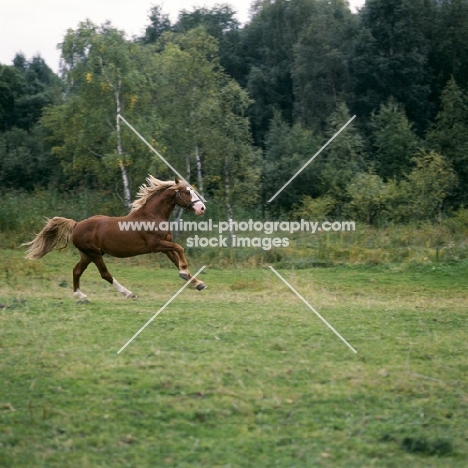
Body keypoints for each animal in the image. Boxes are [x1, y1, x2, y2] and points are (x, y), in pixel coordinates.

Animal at [23, 176, 207, 300]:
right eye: (187, 192)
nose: (202, 208)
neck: (152, 215)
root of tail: (76, 225)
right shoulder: (157, 245)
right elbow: (180, 249)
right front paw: (184, 272)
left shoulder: (165, 246)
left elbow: (176, 259)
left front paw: (198, 283)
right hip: (94, 254)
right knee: (105, 274)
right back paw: (129, 293)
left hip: (87, 254)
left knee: (76, 271)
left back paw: (80, 295)